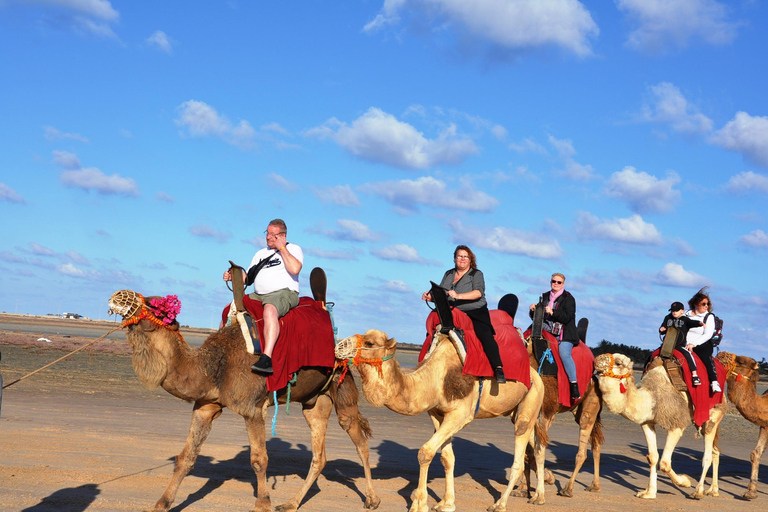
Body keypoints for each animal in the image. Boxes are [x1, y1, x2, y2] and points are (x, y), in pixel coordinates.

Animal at [109, 290, 380, 512]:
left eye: (155, 306)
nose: (117, 297)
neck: (215, 367)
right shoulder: (206, 406)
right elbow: (186, 457)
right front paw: (161, 504)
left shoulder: (253, 409)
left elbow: (259, 459)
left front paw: (262, 504)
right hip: (314, 401)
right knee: (319, 455)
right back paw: (290, 504)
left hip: (342, 382)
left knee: (359, 440)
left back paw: (372, 499)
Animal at [336, 328, 544, 512]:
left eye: (370, 343)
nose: (338, 346)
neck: (434, 380)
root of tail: (536, 375)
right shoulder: (437, 414)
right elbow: (447, 458)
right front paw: (447, 503)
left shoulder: (460, 414)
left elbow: (425, 452)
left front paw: (419, 505)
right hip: (518, 410)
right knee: (538, 447)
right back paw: (538, 497)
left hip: (530, 402)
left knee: (519, 455)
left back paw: (499, 504)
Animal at [592, 352, 728, 500]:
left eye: (618, 362)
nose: (596, 360)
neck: (651, 397)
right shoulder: (647, 423)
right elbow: (653, 457)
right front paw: (649, 493)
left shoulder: (676, 424)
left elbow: (664, 463)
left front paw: (685, 482)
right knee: (715, 451)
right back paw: (713, 490)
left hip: (713, 415)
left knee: (707, 455)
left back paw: (698, 491)